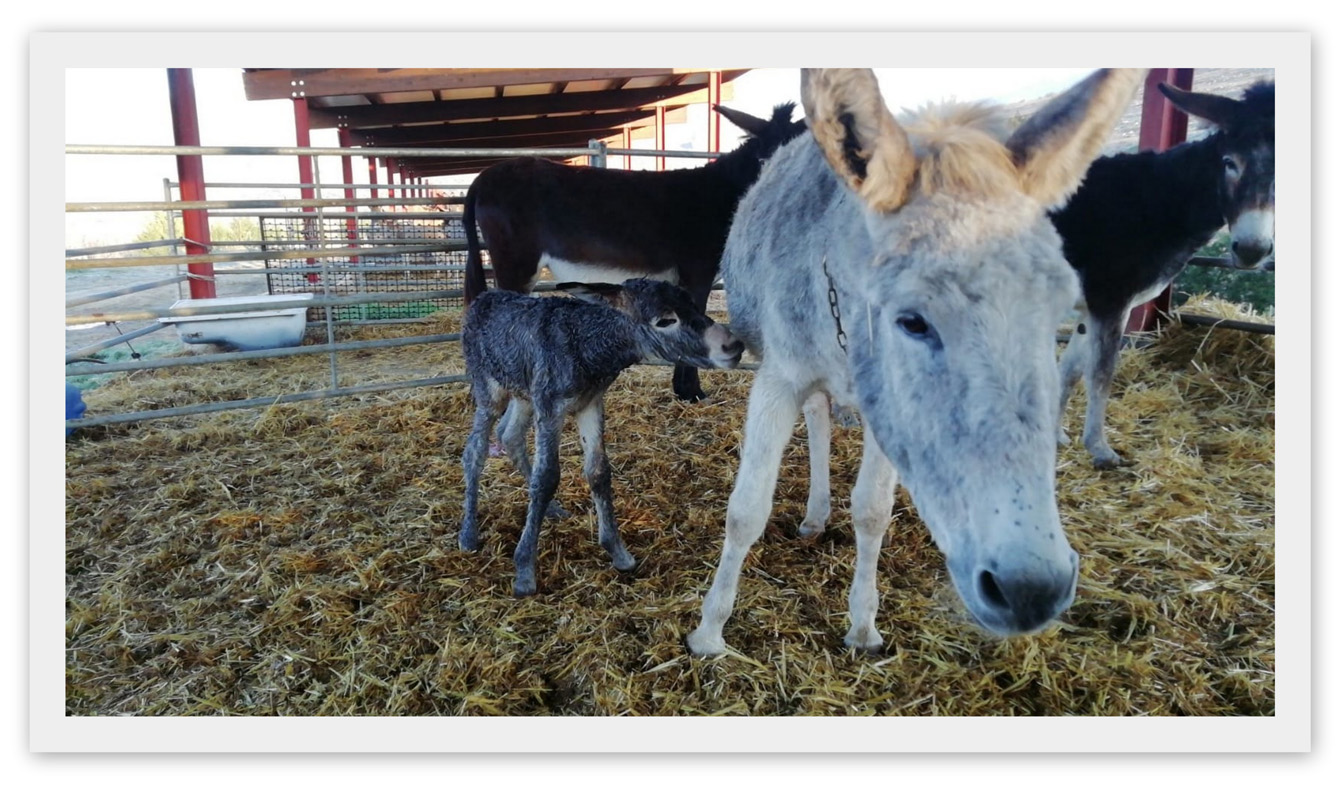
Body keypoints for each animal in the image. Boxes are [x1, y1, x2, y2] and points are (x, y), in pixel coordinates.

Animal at [463, 280, 745, 595]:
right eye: (664, 320)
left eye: (694, 306)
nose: (732, 345)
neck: (585, 346)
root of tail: (485, 297)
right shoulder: (550, 405)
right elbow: (546, 476)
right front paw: (524, 570)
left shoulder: (589, 403)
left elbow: (598, 471)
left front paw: (618, 552)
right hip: (488, 387)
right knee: (475, 450)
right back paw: (468, 534)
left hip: (523, 392)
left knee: (509, 435)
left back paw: (552, 510)